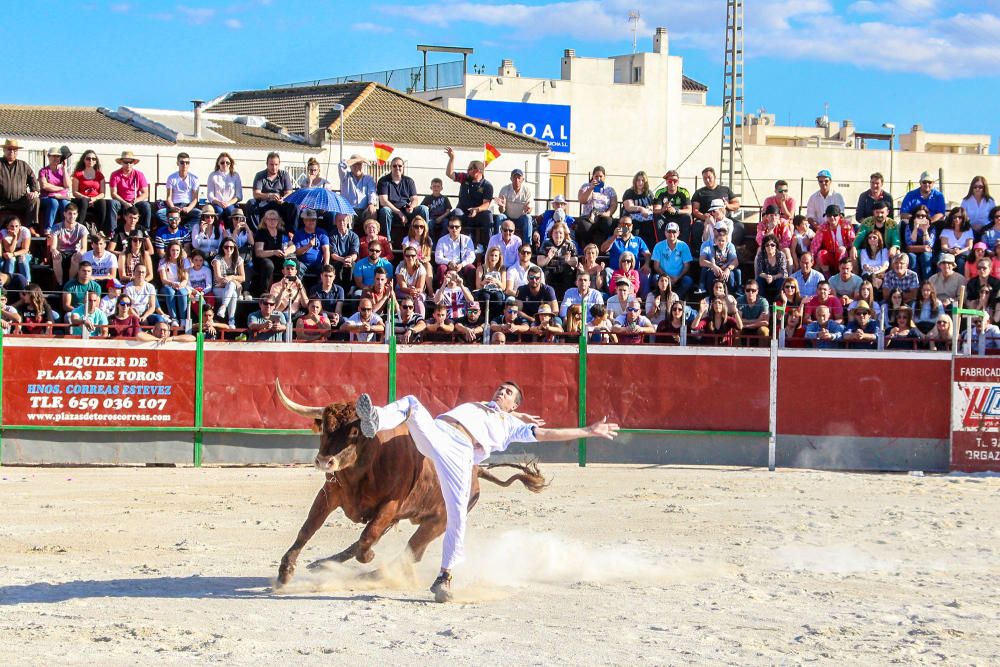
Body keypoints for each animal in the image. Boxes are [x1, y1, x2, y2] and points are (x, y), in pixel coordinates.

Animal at [274, 384, 544, 588]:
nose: (324, 461)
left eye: (354, 432)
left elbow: (367, 537)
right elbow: (308, 528)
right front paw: (285, 571)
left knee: (410, 553)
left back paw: (372, 575)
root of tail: (477, 471)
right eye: (325, 429)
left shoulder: (390, 506)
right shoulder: (330, 494)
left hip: (439, 521)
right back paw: (322, 564)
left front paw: (369, 556)